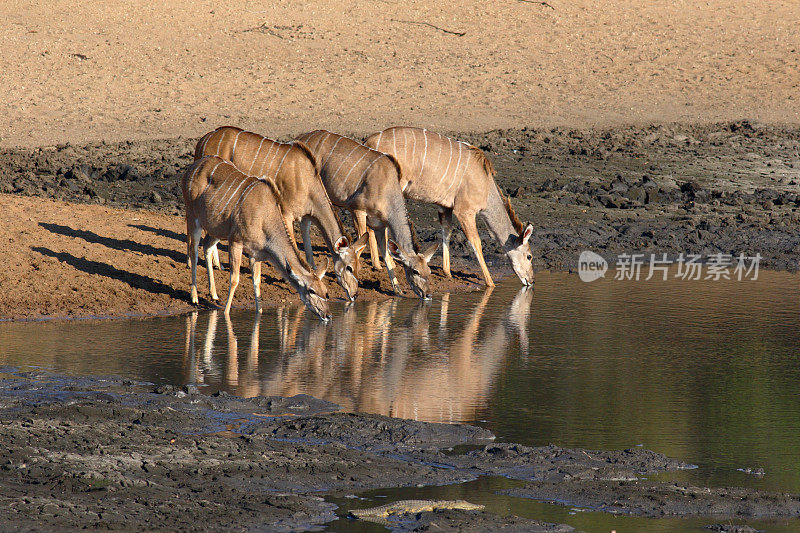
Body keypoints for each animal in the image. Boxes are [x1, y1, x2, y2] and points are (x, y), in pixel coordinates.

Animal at [182, 154, 332, 320]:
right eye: (311, 290)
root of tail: (192, 167)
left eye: (326, 292)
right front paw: (226, 313)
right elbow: (234, 279)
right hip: (193, 216)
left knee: (207, 245)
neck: (265, 217)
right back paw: (194, 297)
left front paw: (258, 313)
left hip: (216, 229)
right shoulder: (236, 241)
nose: (328, 315)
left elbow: (257, 282)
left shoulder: (256, 253)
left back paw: (214, 294)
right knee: (194, 251)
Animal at [195, 124, 368, 300]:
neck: (307, 179)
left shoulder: (305, 217)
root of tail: (203, 140)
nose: (355, 294)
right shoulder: (287, 214)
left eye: (359, 267)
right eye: (349, 268)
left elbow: (307, 245)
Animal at [296, 127, 438, 298]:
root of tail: (301, 137)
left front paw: (397, 289)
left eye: (429, 271)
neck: (386, 187)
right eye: (415, 271)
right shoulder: (357, 210)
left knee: (305, 222)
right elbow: (360, 247)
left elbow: (386, 253)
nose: (428, 294)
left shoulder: (380, 226)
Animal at [366, 127, 536, 286]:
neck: (486, 186)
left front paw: (447, 272)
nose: (531, 280)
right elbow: (476, 242)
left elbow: (447, 231)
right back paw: (384, 264)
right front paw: (490, 283)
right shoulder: (465, 211)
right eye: (529, 256)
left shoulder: (444, 207)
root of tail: (370, 141)